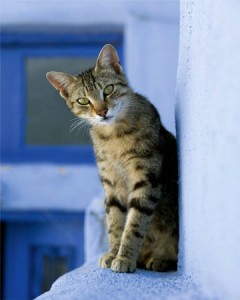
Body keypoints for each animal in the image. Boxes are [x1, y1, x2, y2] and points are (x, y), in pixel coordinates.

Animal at [46, 44, 178, 272]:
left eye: (108, 90)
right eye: (83, 101)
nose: (102, 112)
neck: (114, 136)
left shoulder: (146, 180)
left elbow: (134, 224)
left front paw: (124, 258)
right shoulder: (111, 184)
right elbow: (115, 223)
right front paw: (114, 253)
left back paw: (160, 261)